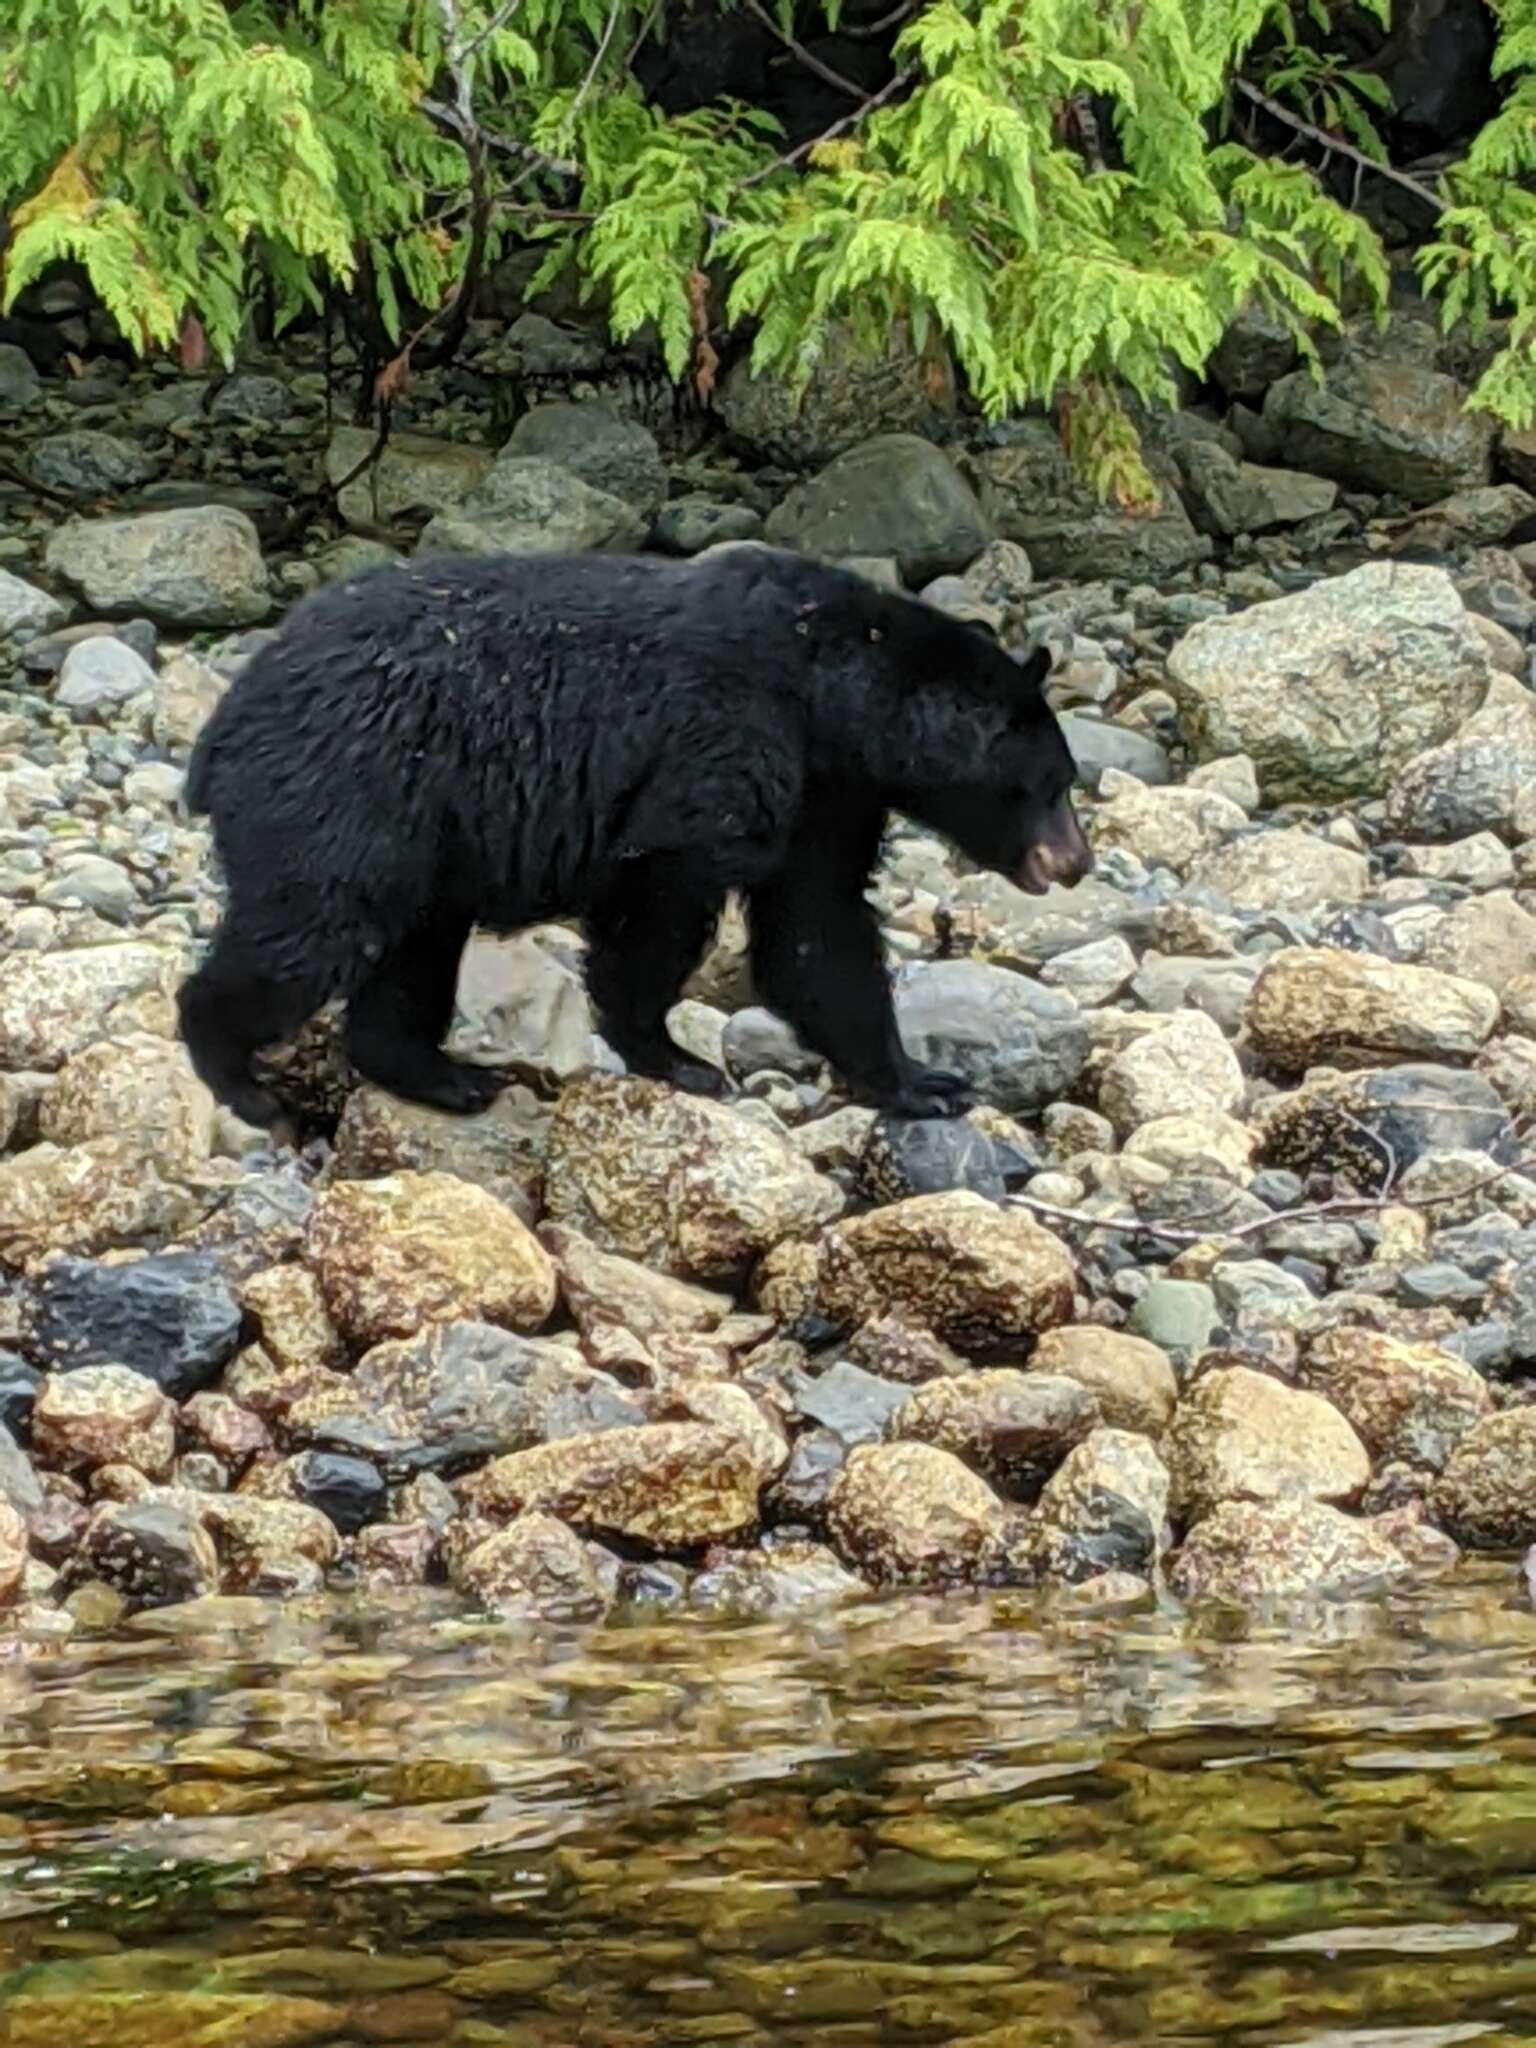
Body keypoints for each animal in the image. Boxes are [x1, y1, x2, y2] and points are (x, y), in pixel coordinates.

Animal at [177, 540, 1097, 1122]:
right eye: (1049, 785)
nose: (1079, 862)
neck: (831, 690)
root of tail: (221, 724)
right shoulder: (726, 737)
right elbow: (663, 890)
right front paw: (677, 1058)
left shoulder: (828, 793)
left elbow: (818, 929)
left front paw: (920, 1080)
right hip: (348, 788)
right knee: (314, 927)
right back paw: (235, 1076)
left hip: (419, 832)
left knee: (410, 948)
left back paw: (442, 1077)